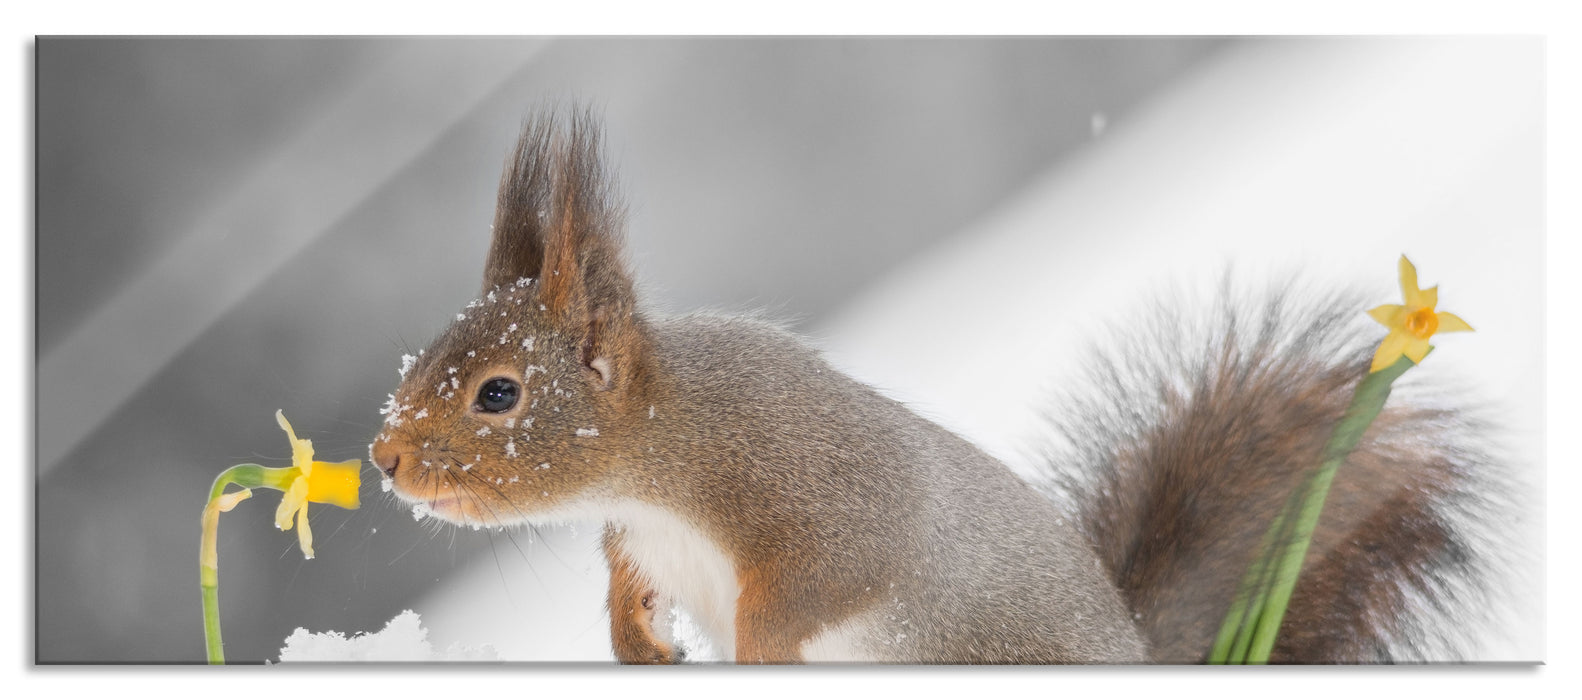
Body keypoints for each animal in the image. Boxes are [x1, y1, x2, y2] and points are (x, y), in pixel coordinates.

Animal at [367, 106, 1493, 665]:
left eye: (499, 394)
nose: (384, 456)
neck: (660, 455)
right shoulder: (641, 538)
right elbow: (623, 584)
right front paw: (638, 643)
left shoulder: (819, 493)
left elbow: (827, 577)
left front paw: (756, 657)